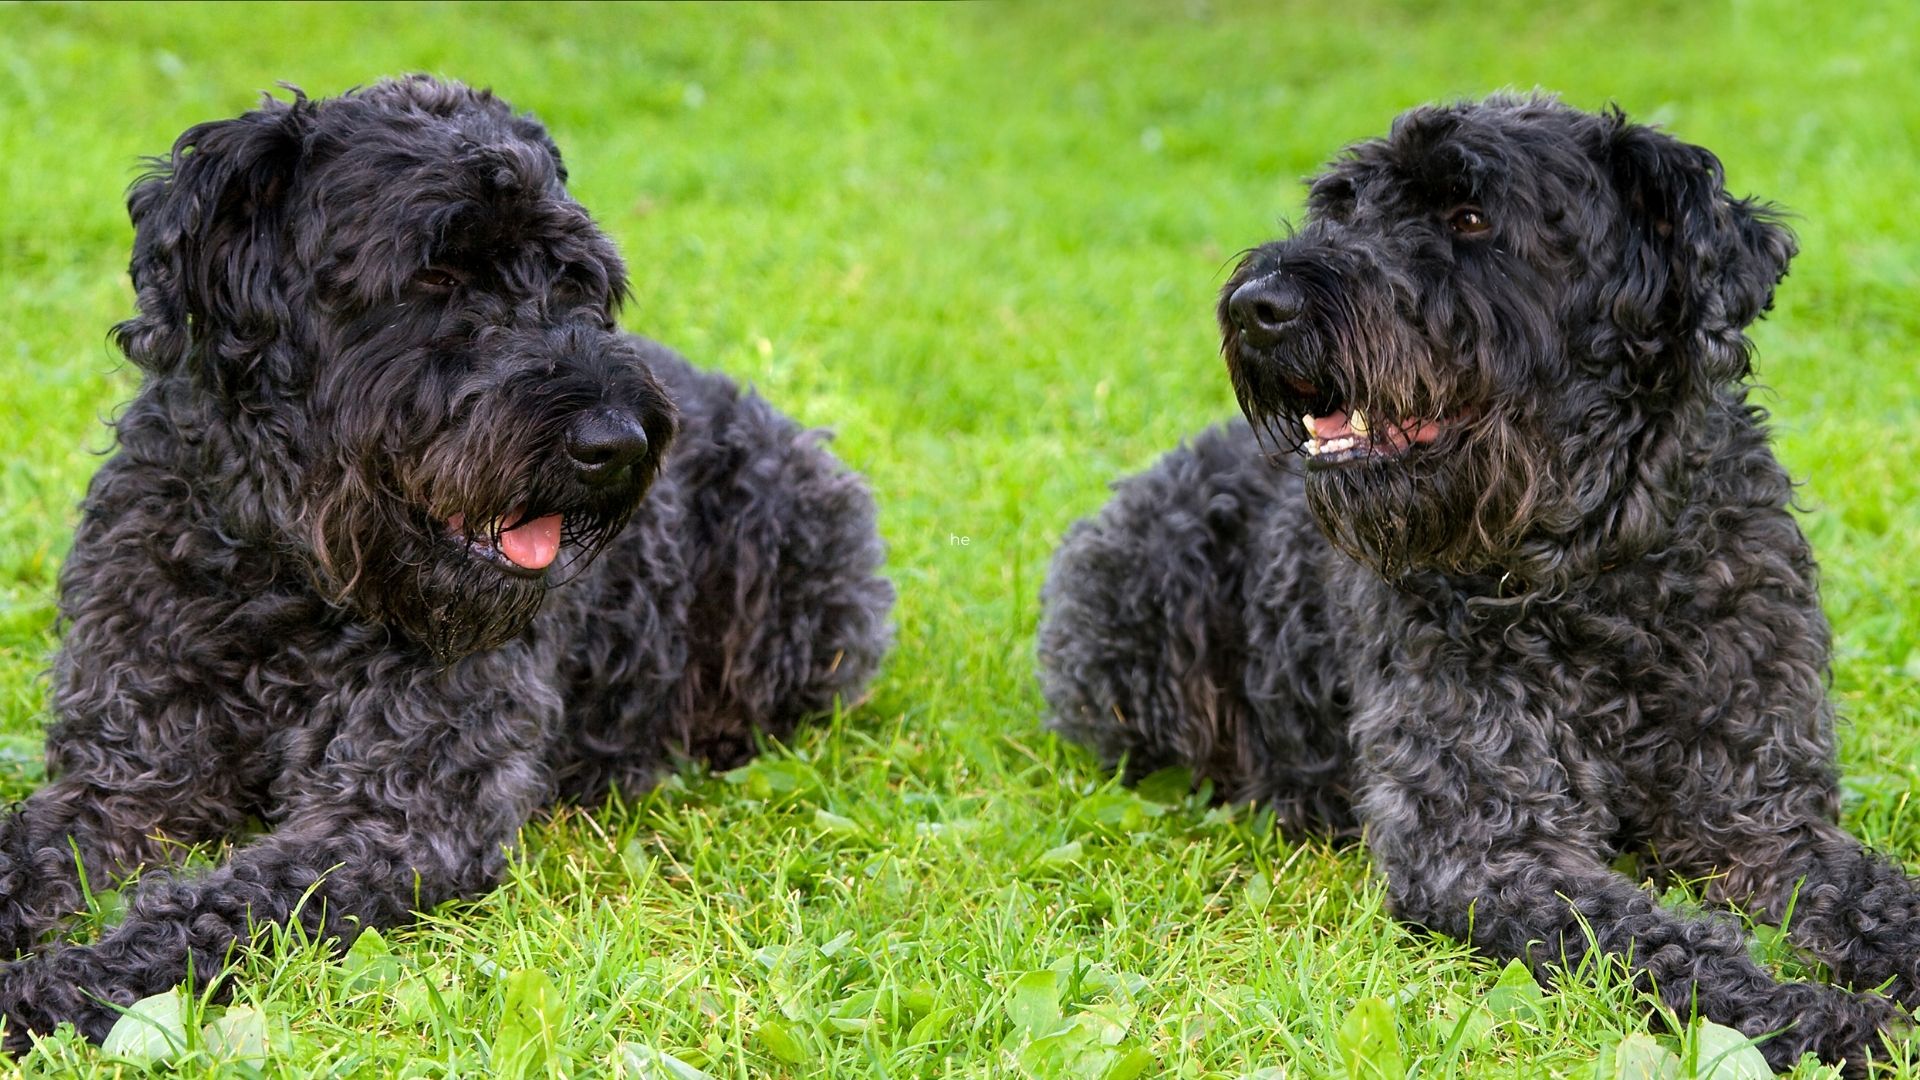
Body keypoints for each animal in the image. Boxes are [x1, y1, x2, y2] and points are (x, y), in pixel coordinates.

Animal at [0, 75, 890, 1045]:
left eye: (576, 280)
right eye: (434, 275)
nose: (615, 441)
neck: (287, 581)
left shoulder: (399, 816)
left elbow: (220, 909)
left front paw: (55, 986)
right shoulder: (127, 775)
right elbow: (32, 843)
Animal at [1044, 96, 1920, 1068]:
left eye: (1469, 217)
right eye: (1339, 210)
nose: (1258, 306)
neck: (1596, 574)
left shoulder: (1763, 821)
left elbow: (1870, 894)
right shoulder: (1487, 848)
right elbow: (1667, 945)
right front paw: (1823, 1017)